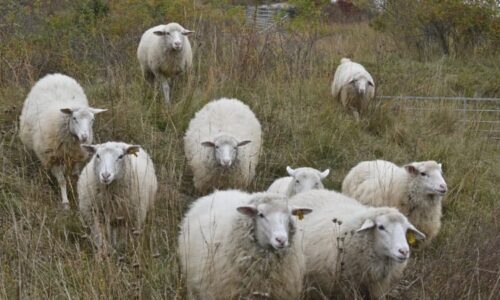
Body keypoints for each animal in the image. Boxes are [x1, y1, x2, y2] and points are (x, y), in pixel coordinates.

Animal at [19, 73, 107, 209]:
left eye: (92, 119)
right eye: (74, 118)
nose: (84, 137)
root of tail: (54, 75)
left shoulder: (76, 156)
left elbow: (75, 176)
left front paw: (76, 193)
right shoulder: (54, 157)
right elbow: (61, 181)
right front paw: (65, 202)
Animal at [290, 190, 426, 300]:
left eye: (405, 229)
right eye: (381, 227)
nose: (404, 251)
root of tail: (310, 191)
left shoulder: (379, 287)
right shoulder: (345, 287)